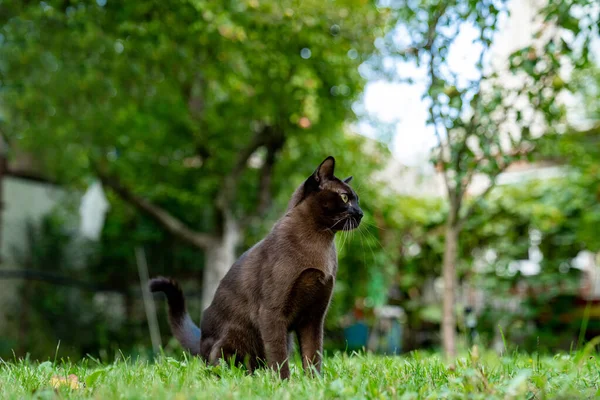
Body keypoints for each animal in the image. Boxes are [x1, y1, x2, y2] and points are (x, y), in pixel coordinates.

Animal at [152, 156, 364, 378]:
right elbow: (279, 359)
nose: (361, 213)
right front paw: (284, 383)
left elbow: (313, 356)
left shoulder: (314, 318)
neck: (320, 241)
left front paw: (314, 382)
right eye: (345, 198)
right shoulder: (272, 313)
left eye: (357, 200)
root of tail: (201, 342)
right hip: (229, 342)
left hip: (286, 339)